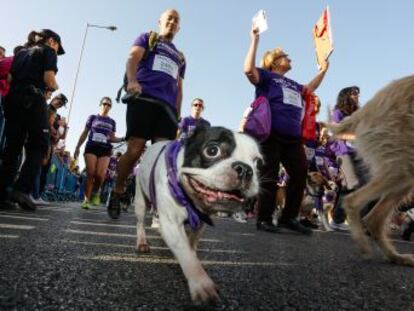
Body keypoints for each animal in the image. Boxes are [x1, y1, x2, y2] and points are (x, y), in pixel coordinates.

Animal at [134, 127, 262, 304]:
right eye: (212, 151)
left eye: (258, 163)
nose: (245, 169)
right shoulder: (172, 225)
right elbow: (185, 253)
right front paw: (201, 283)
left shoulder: (201, 221)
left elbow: (191, 243)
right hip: (140, 201)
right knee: (140, 222)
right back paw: (142, 242)